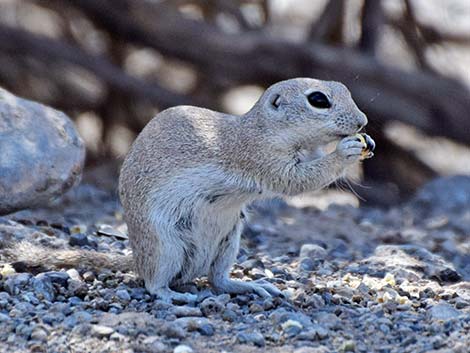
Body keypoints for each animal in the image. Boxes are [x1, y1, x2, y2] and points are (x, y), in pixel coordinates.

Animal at [1, 77, 372, 302]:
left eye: (345, 89)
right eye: (318, 100)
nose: (363, 122)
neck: (263, 128)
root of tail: (136, 258)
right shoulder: (259, 157)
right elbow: (296, 180)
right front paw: (344, 152)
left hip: (229, 241)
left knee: (218, 280)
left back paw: (251, 285)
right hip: (164, 244)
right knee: (154, 283)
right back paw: (173, 295)